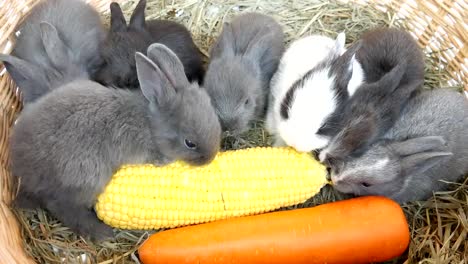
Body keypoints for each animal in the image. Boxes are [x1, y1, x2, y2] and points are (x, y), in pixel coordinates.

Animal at [10, 43, 222, 241]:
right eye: (190, 143)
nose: (210, 159)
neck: (151, 124)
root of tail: (22, 168)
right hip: (88, 177)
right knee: (62, 206)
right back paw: (103, 233)